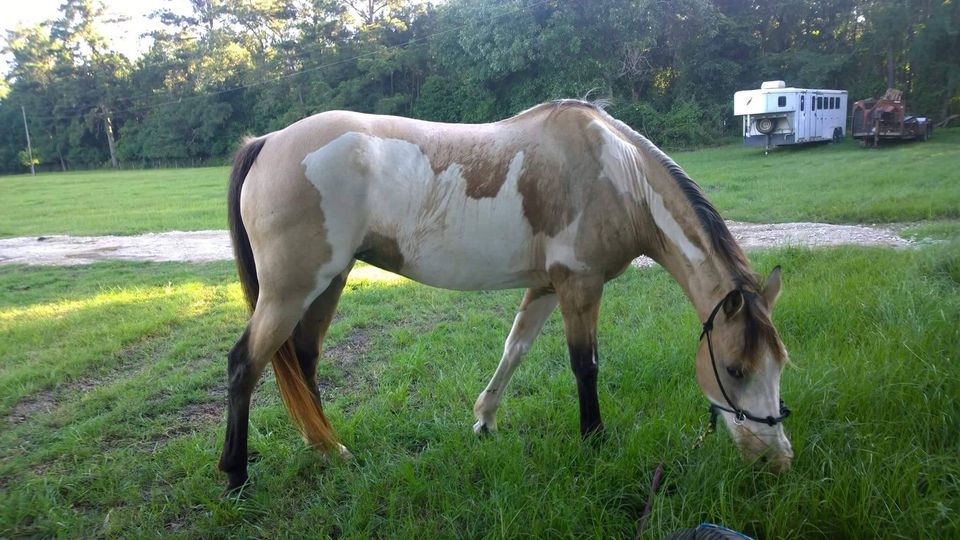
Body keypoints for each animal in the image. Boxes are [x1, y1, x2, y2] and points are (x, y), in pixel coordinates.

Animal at [219, 99, 796, 492]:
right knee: (245, 364)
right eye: (735, 369)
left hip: (328, 283)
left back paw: (327, 447)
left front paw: (485, 419)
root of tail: (269, 141)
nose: (777, 460)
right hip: (291, 291)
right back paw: (236, 475)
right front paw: (594, 439)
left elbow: (514, 350)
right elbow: (585, 365)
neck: (617, 173)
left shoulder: (546, 285)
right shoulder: (579, 284)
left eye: (780, 365)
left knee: (304, 360)